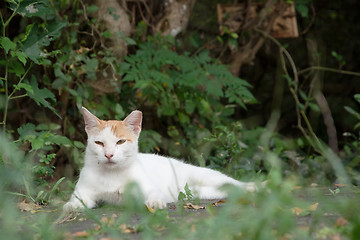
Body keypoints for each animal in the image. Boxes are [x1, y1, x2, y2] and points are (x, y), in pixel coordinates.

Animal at [63, 107, 258, 212]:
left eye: (120, 141)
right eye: (99, 143)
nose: (109, 155)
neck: (112, 174)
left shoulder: (147, 188)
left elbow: (153, 195)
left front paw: (155, 203)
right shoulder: (84, 192)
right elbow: (77, 200)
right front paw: (71, 206)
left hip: (208, 177)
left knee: (234, 183)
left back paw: (257, 186)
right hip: (205, 192)